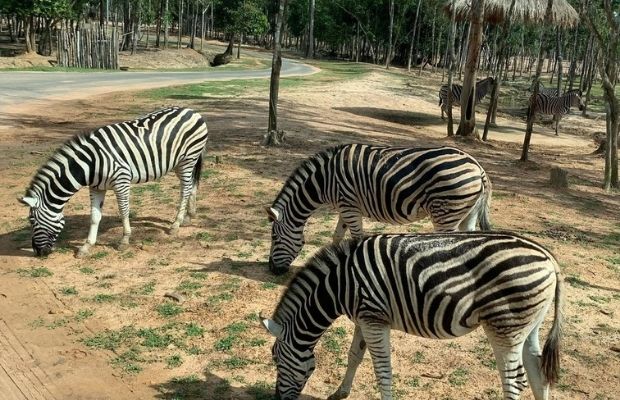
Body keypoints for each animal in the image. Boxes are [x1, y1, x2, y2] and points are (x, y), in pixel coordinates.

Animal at [19, 106, 208, 256]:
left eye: (32, 221)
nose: (38, 252)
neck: (90, 163)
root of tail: (192, 111)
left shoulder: (121, 181)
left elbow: (124, 211)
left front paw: (124, 240)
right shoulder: (96, 187)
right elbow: (94, 217)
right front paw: (86, 246)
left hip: (187, 160)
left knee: (185, 190)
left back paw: (176, 224)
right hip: (179, 163)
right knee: (191, 185)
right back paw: (189, 216)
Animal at [264, 231, 564, 400]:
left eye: (276, 359)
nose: (277, 399)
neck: (340, 284)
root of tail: (550, 258)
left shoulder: (374, 320)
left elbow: (382, 369)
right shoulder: (365, 318)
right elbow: (354, 356)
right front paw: (340, 392)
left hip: (505, 327)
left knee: (514, 381)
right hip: (529, 326)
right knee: (538, 370)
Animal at [266, 144, 494, 276]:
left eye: (274, 238)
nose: (272, 270)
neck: (324, 180)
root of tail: (478, 168)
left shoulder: (349, 207)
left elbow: (357, 238)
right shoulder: (346, 207)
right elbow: (337, 236)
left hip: (446, 212)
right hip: (468, 213)